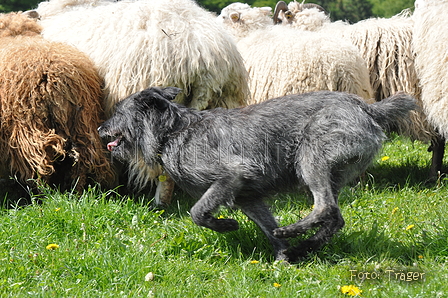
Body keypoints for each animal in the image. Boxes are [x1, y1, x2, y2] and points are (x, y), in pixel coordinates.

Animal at [99, 86, 416, 260]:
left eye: (118, 111)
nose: (101, 128)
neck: (174, 131)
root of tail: (368, 109)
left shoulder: (230, 176)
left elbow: (197, 212)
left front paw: (226, 225)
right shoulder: (247, 197)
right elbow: (266, 226)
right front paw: (284, 256)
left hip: (311, 158)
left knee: (324, 206)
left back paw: (295, 230)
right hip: (333, 172)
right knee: (335, 217)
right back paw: (305, 246)